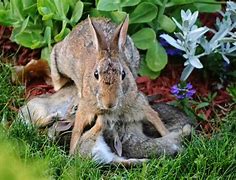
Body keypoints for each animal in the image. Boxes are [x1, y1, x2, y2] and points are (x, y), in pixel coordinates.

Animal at [50, 15, 170, 155]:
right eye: (96, 74)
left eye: (123, 74)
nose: (109, 103)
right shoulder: (85, 108)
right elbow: (77, 130)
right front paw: (72, 153)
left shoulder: (137, 103)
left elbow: (154, 117)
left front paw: (168, 136)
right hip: (60, 62)